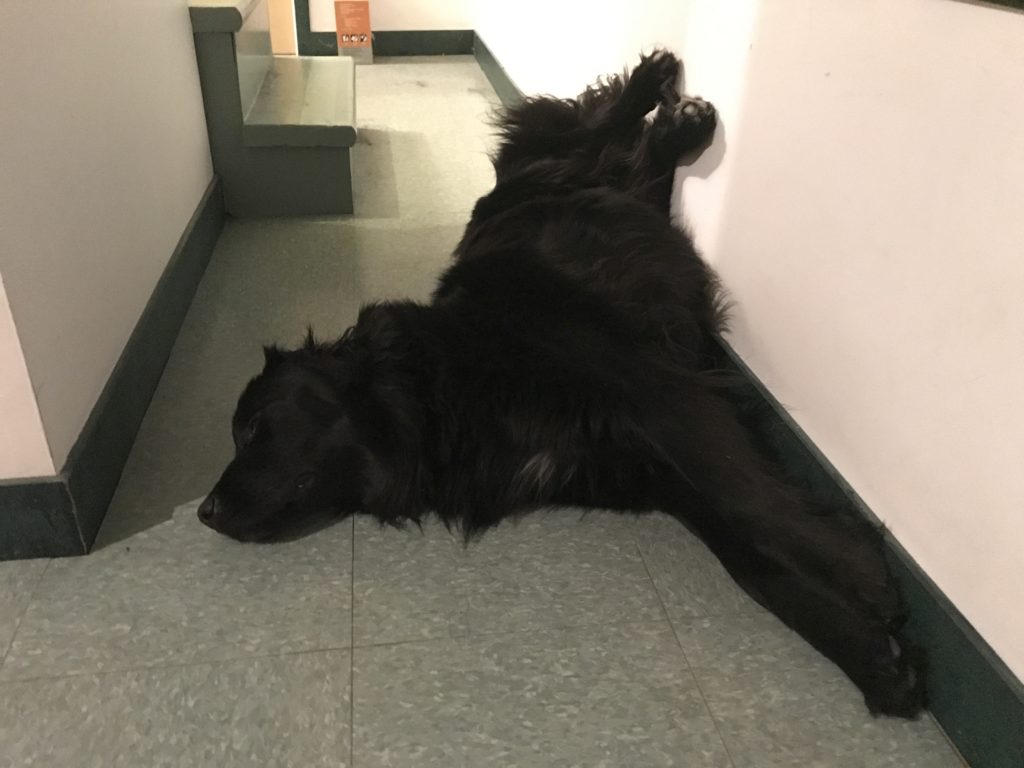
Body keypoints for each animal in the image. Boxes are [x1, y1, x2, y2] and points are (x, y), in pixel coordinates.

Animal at [199, 51, 929, 720]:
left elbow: (753, 504)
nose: (203, 512)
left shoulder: (662, 397)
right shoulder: (652, 474)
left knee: (588, 123)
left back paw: (659, 87)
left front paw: (862, 577)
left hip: (553, 165)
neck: (442, 381)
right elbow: (752, 560)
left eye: (255, 428)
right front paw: (874, 661)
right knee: (633, 165)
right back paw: (678, 124)